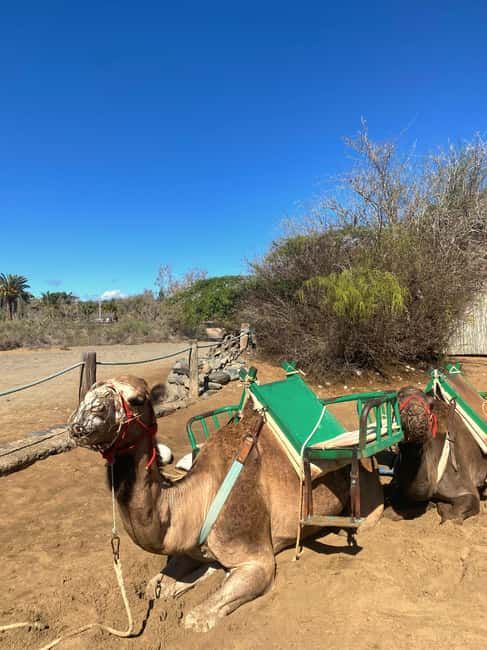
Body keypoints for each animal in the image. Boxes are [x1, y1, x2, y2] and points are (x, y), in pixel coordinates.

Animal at [68, 375, 384, 631]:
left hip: (366, 483)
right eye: (85, 394)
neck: (200, 495)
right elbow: (155, 587)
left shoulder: (256, 558)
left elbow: (194, 618)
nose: (80, 424)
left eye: (137, 399)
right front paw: (180, 581)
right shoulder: (190, 545)